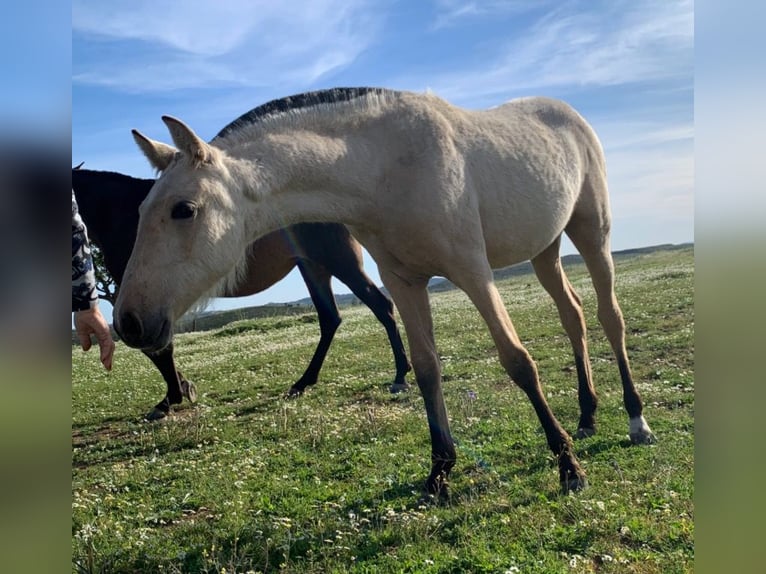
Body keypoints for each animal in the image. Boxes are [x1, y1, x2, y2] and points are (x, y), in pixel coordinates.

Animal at [72, 166, 411, 421]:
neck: (123, 213)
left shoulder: (145, 304)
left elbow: (159, 349)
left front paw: (171, 398)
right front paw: (182, 388)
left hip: (338, 261)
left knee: (381, 306)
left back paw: (400, 374)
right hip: (313, 266)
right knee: (330, 319)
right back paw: (303, 382)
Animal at [114, 87, 656, 494]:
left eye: (184, 209)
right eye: (140, 210)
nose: (129, 322)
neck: (387, 168)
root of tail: (568, 113)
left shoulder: (472, 272)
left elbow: (518, 361)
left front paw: (568, 467)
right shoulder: (405, 281)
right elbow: (427, 370)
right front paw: (439, 474)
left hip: (592, 234)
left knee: (609, 318)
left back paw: (635, 421)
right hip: (544, 250)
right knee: (574, 316)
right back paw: (587, 416)